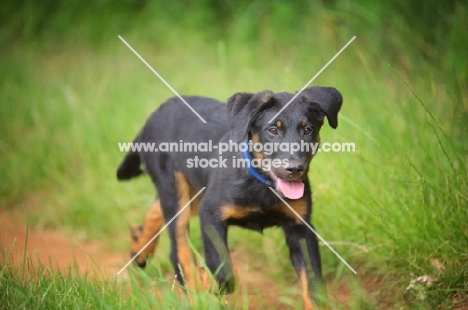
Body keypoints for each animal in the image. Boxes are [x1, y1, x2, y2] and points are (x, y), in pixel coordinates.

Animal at [117, 86, 342, 308]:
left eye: (307, 130)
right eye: (273, 130)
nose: (294, 169)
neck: (261, 182)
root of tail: (154, 115)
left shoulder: (300, 226)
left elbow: (313, 283)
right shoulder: (210, 214)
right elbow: (223, 269)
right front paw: (208, 282)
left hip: (193, 191)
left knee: (156, 211)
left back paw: (139, 246)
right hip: (175, 188)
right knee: (179, 251)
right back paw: (194, 292)